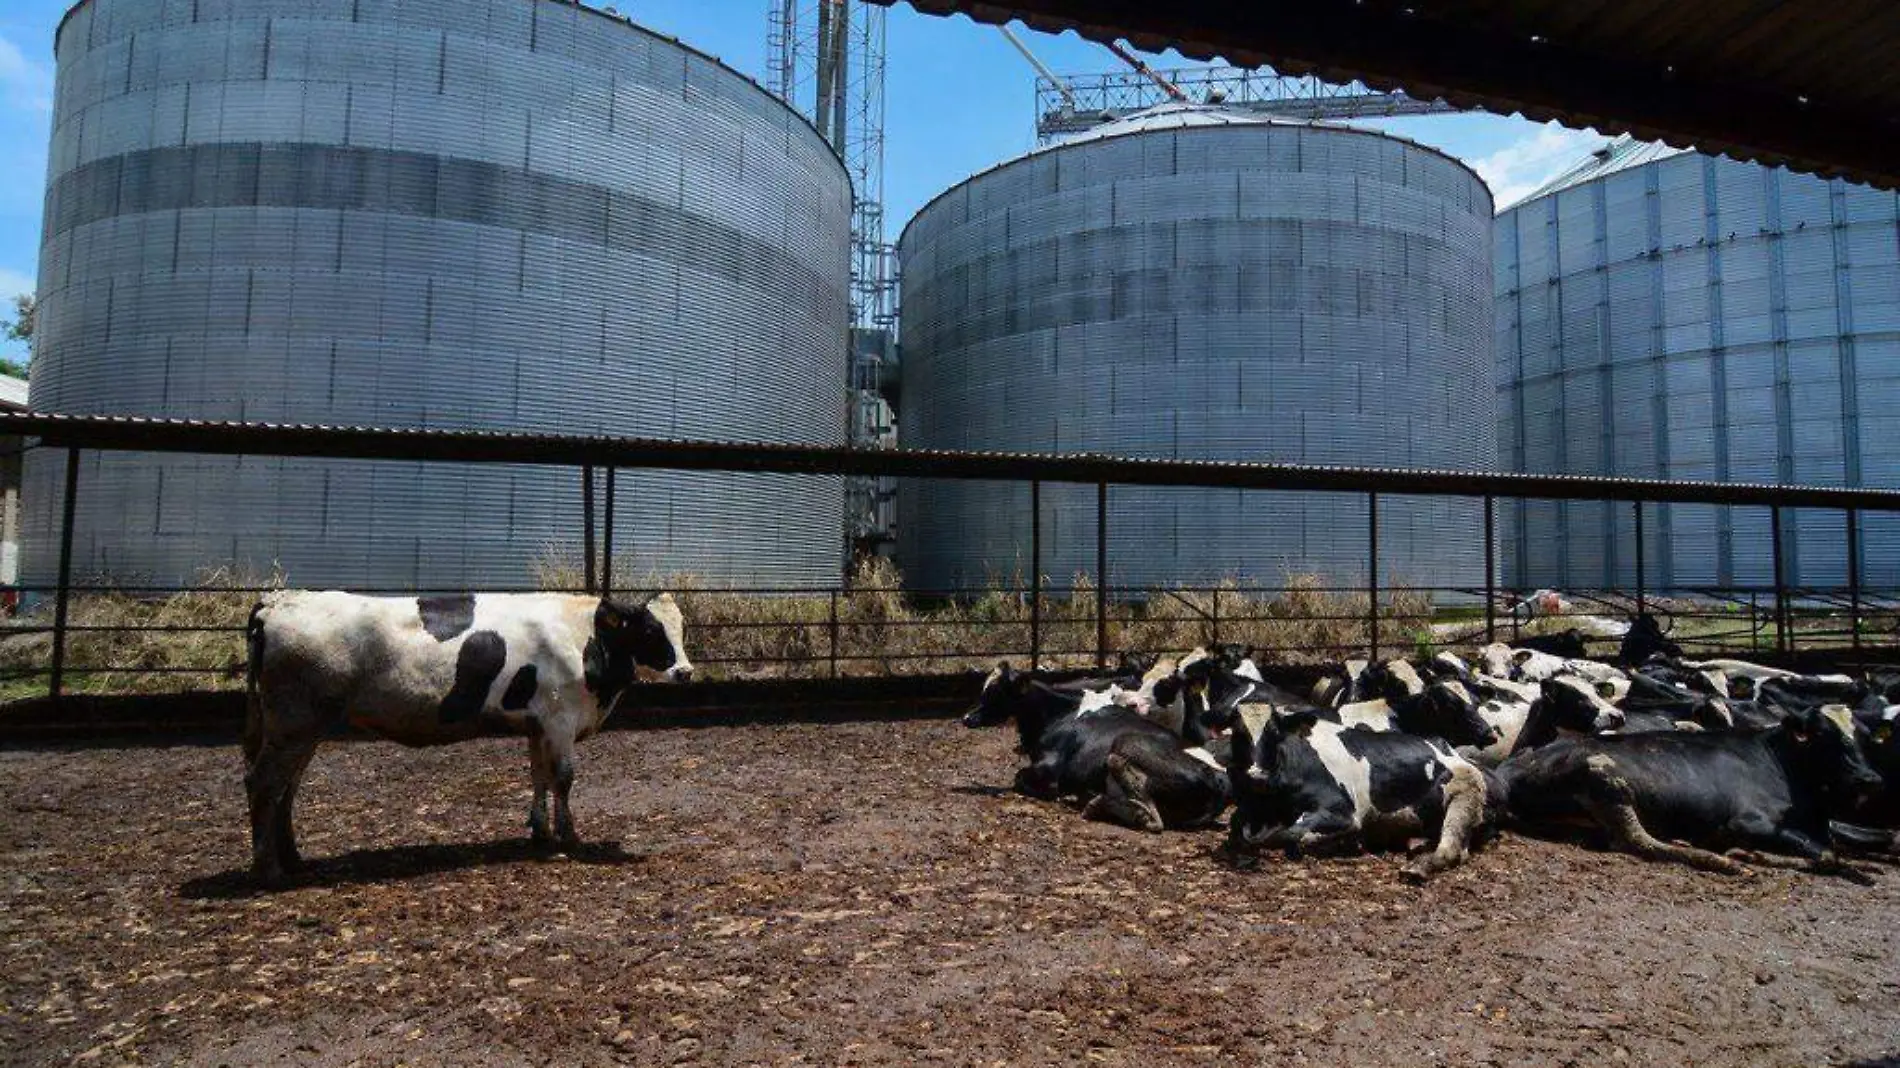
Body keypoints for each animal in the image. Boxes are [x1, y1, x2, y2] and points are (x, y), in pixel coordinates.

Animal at [243, 589, 691, 881]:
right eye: (651, 631)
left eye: (681, 628)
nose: (685, 672)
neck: (584, 635)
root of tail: (279, 600)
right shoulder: (561, 720)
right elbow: (563, 778)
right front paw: (570, 837)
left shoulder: (538, 724)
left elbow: (539, 777)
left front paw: (540, 832)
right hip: (294, 724)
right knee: (264, 783)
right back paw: (269, 869)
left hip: (301, 728)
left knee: (287, 788)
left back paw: (293, 858)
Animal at [1216, 706, 1497, 881]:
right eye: (1238, 734)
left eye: (1274, 734)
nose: (1257, 776)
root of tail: (1446, 746)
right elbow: (1238, 829)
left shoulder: (1342, 812)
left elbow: (1289, 834)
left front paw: (1346, 842)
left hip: (1467, 792)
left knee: (1452, 848)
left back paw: (1418, 867)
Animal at [1497, 699, 1884, 874]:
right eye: (1823, 735)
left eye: (1865, 737)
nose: (1870, 779)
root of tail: (1516, 767)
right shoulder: (1747, 821)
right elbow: (1827, 853)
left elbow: (1833, 844)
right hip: (1605, 776)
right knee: (1635, 841)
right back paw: (1725, 860)